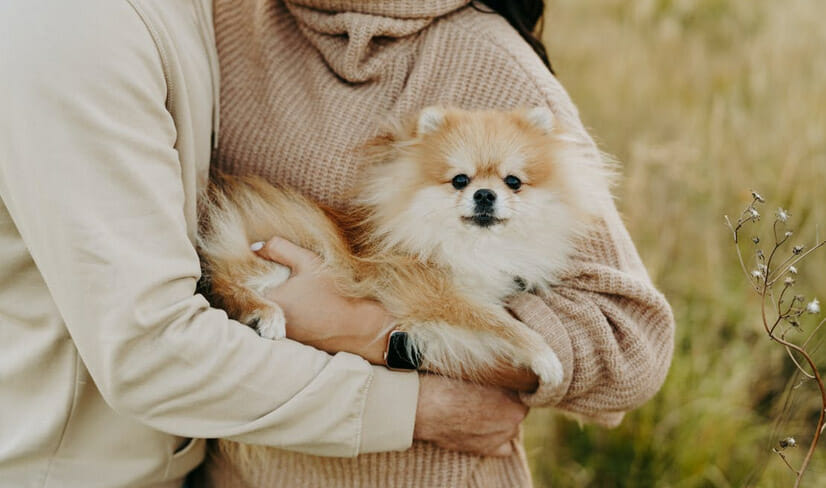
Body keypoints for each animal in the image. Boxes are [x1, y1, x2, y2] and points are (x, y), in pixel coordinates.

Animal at [197, 107, 608, 388]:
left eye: (513, 182)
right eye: (460, 180)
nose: (485, 194)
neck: (468, 244)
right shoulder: (434, 293)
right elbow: (499, 321)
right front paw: (544, 355)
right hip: (268, 256)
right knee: (226, 284)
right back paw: (264, 314)